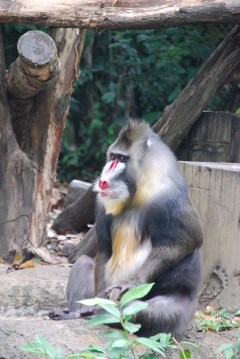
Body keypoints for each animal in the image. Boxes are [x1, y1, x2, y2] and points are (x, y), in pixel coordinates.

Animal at [49, 120, 202, 338]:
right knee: (84, 262)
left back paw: (108, 316)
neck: (135, 193)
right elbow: (105, 248)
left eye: (122, 159)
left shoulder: (167, 197)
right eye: (113, 157)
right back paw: (79, 312)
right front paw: (98, 303)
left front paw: (133, 283)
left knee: (141, 308)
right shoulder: (102, 204)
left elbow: (189, 239)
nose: (103, 180)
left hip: (178, 309)